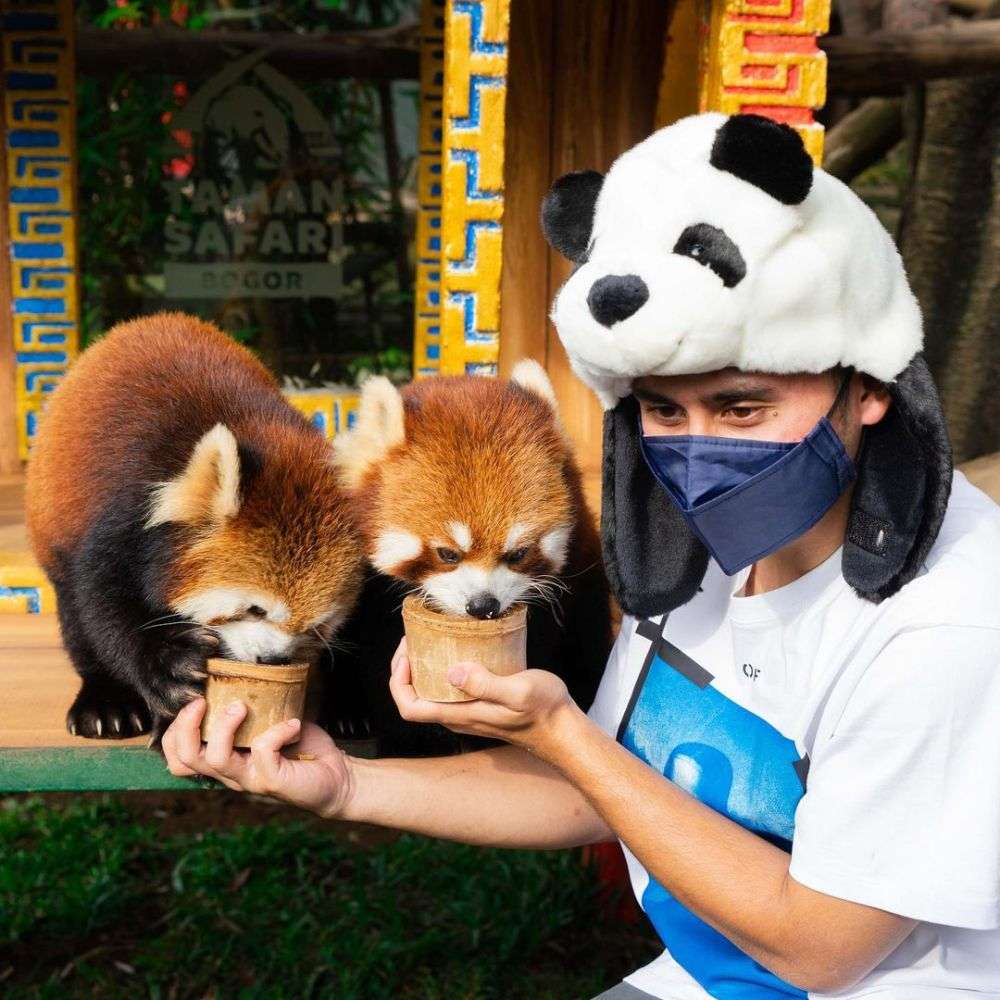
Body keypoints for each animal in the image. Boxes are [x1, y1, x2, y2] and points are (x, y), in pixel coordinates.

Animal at [25, 312, 366, 744]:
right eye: (254, 609)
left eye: (318, 626)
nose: (272, 658)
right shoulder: (123, 515)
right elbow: (106, 605)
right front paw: (170, 669)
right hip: (54, 520)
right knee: (75, 613)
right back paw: (105, 703)